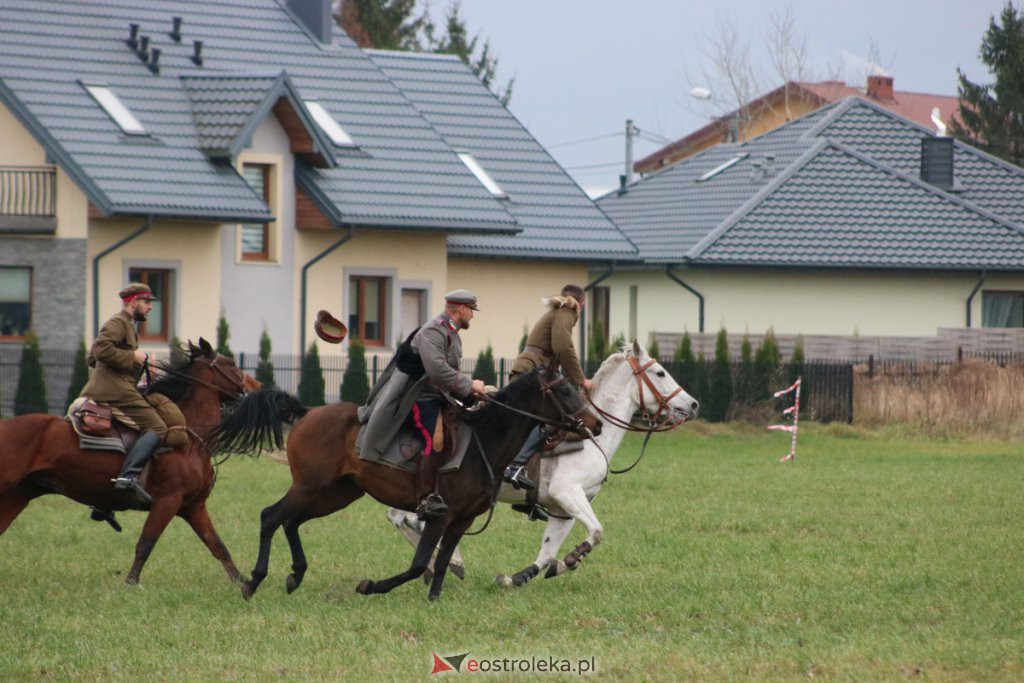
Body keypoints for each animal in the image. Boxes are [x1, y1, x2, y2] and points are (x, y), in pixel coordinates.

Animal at [0, 339, 260, 593]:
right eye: (230, 363)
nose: (257, 385)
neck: (189, 437)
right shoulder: (168, 501)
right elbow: (146, 543)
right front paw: (131, 583)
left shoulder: (193, 506)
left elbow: (217, 545)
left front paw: (243, 583)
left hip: (20, 494)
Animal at [214, 366, 598, 602]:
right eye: (565, 390)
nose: (594, 423)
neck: (484, 443)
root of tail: (308, 412)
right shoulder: (440, 516)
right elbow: (418, 564)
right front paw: (371, 586)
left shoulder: (461, 520)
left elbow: (441, 562)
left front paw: (434, 599)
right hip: (310, 487)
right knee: (271, 516)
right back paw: (253, 581)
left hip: (335, 494)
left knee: (290, 521)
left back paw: (295, 575)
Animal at [387, 342, 700, 589]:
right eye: (660, 373)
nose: (694, 404)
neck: (591, 438)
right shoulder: (568, 493)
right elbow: (596, 531)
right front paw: (572, 558)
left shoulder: (563, 508)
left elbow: (548, 552)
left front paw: (521, 576)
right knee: (410, 518)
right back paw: (450, 562)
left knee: (399, 517)